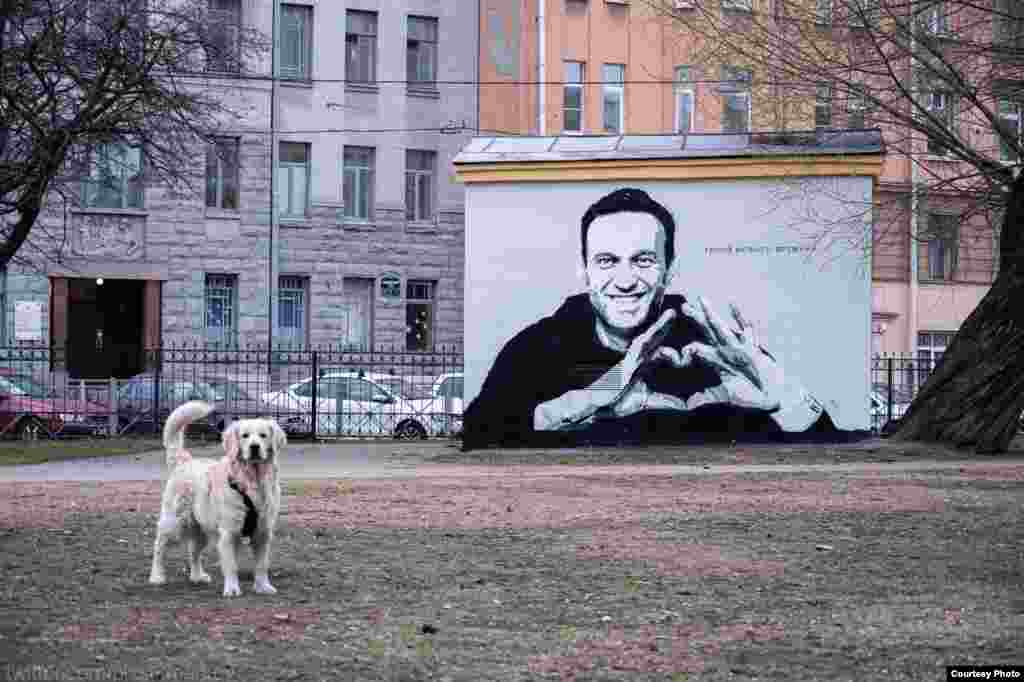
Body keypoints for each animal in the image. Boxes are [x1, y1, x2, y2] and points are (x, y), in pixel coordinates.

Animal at [148, 399, 286, 593]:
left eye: (263, 435)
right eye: (244, 436)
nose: (254, 447)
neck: (253, 481)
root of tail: (184, 460)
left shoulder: (263, 533)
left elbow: (261, 564)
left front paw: (263, 586)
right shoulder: (228, 533)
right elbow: (231, 565)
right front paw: (232, 589)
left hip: (201, 527)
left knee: (193, 551)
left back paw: (197, 576)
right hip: (175, 522)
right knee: (159, 546)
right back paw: (157, 576)